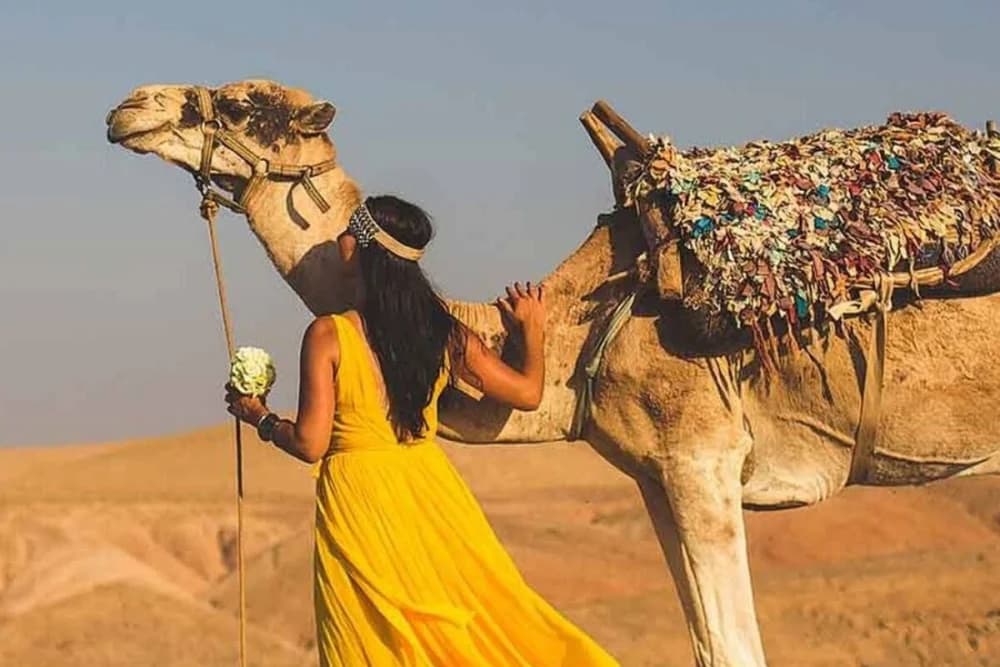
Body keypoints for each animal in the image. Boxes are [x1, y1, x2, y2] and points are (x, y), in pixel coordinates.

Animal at [106, 79, 1000, 666]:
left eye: (239, 104)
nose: (131, 107)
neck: (589, 317)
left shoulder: (702, 458)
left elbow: (733, 645)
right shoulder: (657, 477)